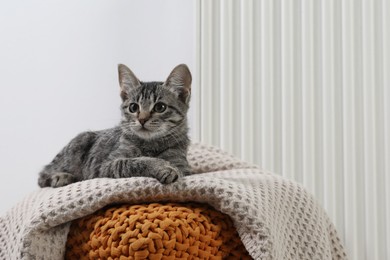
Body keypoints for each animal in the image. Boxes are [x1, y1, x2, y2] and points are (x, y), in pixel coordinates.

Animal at [37, 63, 193, 188]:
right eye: (133, 107)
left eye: (160, 107)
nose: (142, 119)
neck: (150, 144)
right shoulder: (105, 165)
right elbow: (135, 162)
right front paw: (161, 166)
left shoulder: (183, 165)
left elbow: (178, 168)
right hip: (78, 144)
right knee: (43, 175)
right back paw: (61, 177)